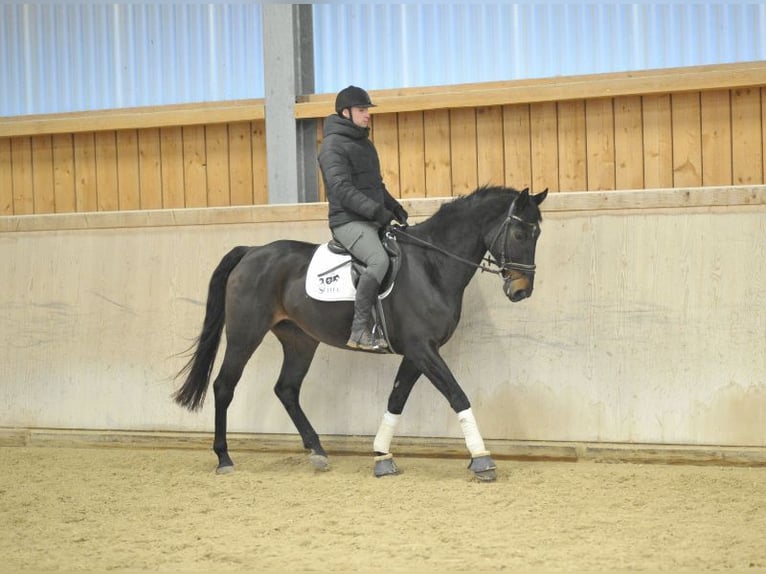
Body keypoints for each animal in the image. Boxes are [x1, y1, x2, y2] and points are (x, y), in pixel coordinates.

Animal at [174, 186, 544, 482]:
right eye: (520, 234)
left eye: (537, 234)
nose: (522, 291)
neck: (431, 267)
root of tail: (251, 251)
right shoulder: (422, 349)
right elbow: (457, 395)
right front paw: (481, 459)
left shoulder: (416, 353)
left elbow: (396, 399)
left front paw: (382, 456)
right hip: (245, 334)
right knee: (224, 386)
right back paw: (224, 457)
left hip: (300, 340)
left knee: (287, 389)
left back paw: (317, 451)